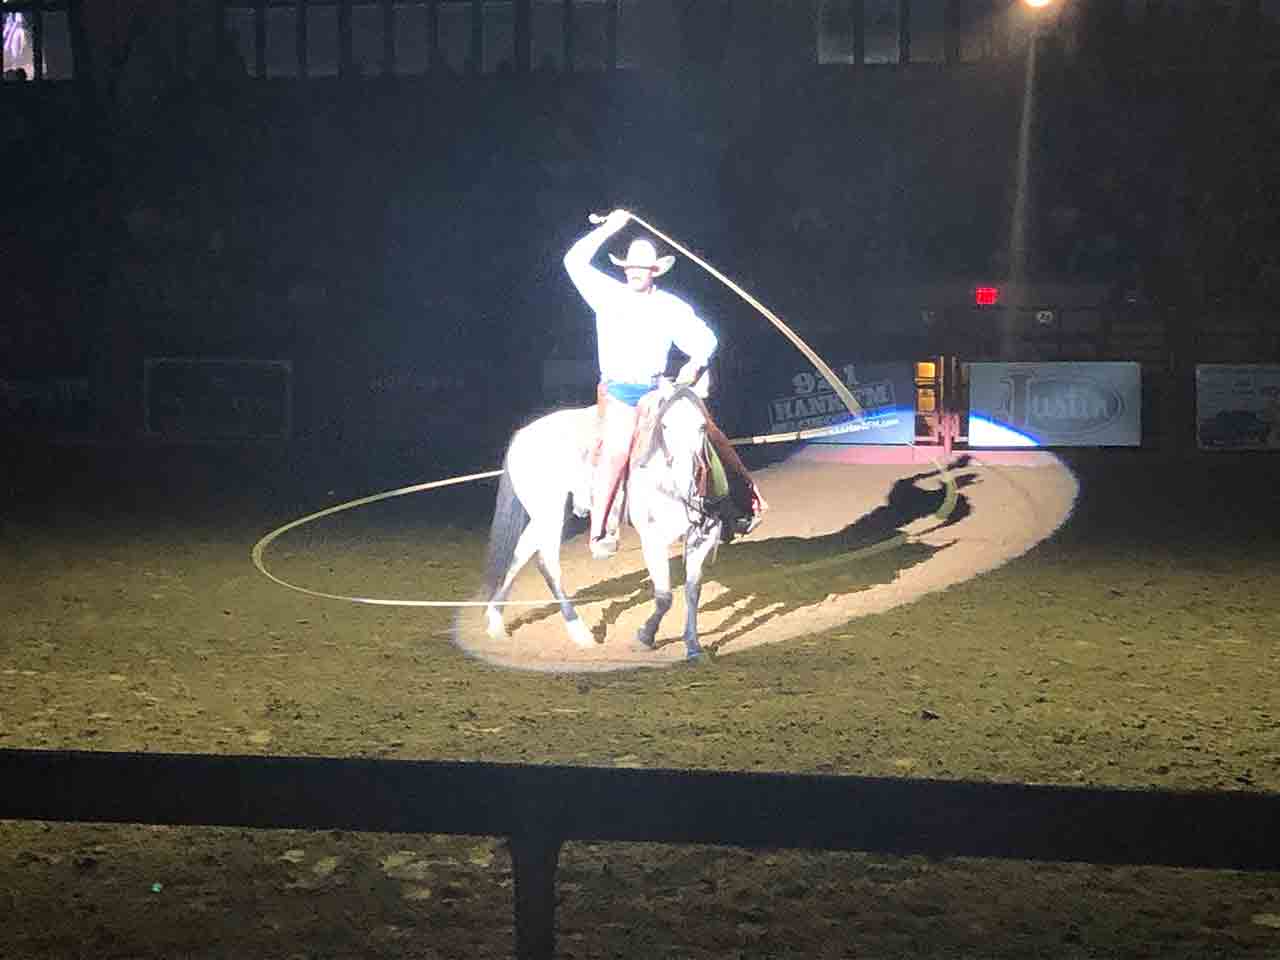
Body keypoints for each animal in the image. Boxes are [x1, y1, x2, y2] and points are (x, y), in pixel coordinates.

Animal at [481, 384, 727, 660]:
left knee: (519, 554)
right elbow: (664, 597)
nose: (686, 478)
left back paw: (496, 622)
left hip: (548, 515)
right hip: (550, 513)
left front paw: (694, 645)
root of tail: (521, 437)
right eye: (664, 426)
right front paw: (645, 636)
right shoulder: (653, 539)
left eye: (702, 425)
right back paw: (579, 632)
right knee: (547, 564)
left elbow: (693, 591)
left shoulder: (701, 539)